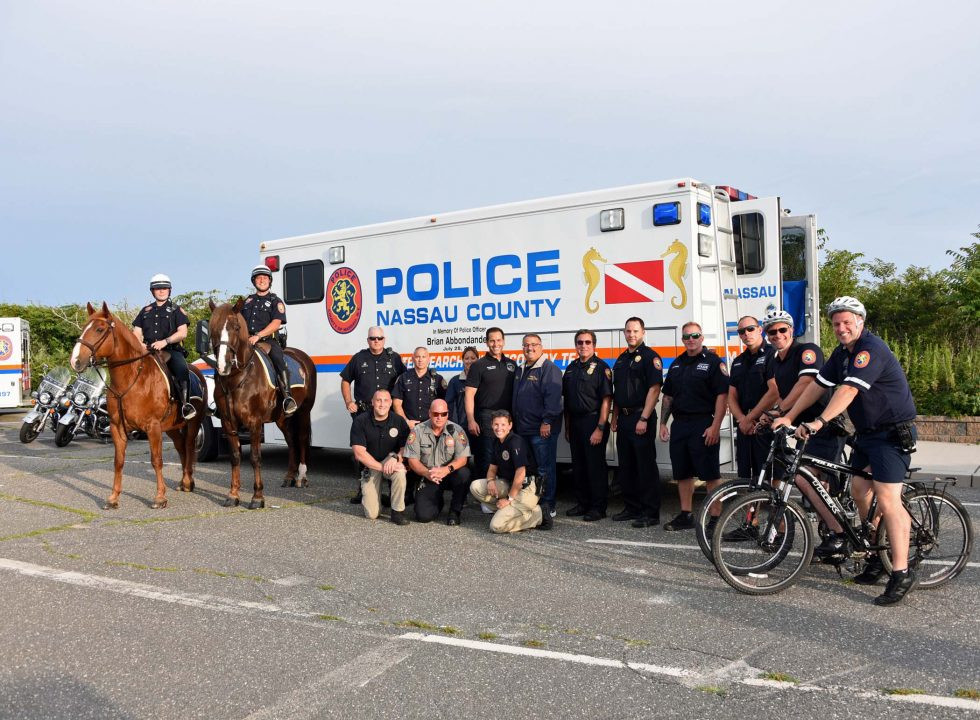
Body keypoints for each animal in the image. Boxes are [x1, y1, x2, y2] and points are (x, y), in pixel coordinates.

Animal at [71, 300, 209, 510]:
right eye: (84, 327)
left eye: (99, 329)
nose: (76, 361)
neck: (131, 380)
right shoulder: (117, 427)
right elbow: (118, 461)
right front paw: (113, 498)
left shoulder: (152, 427)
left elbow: (156, 460)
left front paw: (160, 497)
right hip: (171, 427)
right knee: (181, 447)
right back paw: (183, 481)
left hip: (193, 423)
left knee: (188, 445)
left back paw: (187, 482)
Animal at [207, 300, 318, 510]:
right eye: (212, 329)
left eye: (236, 327)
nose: (223, 366)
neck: (237, 379)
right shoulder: (228, 422)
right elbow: (235, 457)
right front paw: (233, 495)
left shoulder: (254, 422)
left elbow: (255, 457)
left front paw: (257, 497)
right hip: (282, 418)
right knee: (291, 441)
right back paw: (289, 477)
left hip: (304, 411)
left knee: (300, 439)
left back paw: (302, 477)